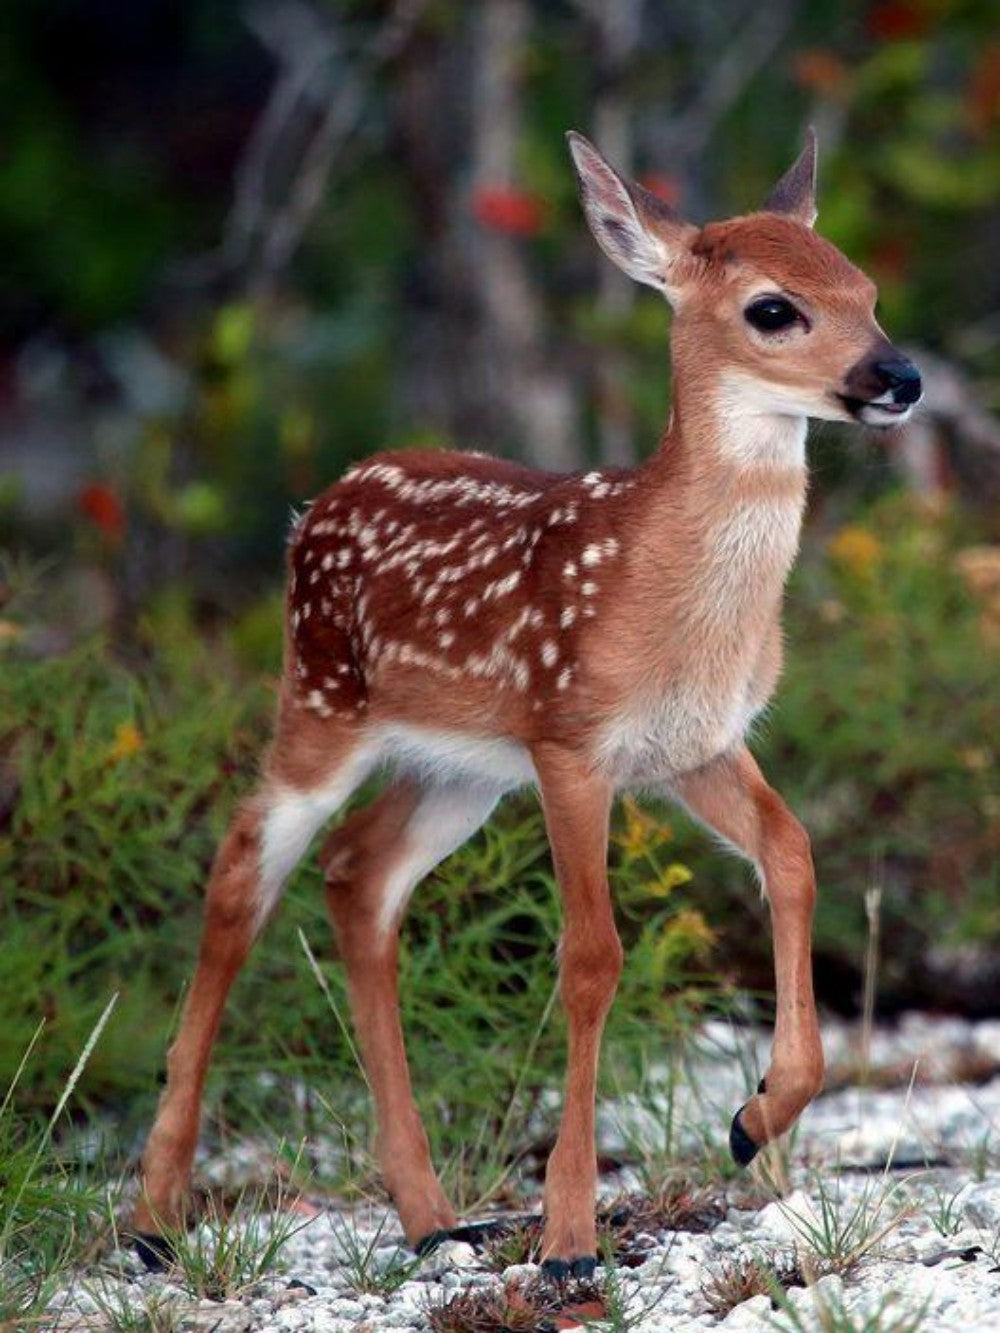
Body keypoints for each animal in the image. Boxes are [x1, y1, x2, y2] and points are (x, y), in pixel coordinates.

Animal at [133, 129, 922, 1280]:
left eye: (866, 290)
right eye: (774, 308)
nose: (899, 375)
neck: (664, 587)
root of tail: (314, 505)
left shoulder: (695, 746)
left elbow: (793, 852)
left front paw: (754, 1115)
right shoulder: (570, 738)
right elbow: (590, 957)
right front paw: (569, 1238)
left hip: (458, 768)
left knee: (359, 875)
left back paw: (428, 1215)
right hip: (321, 701)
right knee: (240, 873)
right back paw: (153, 1216)